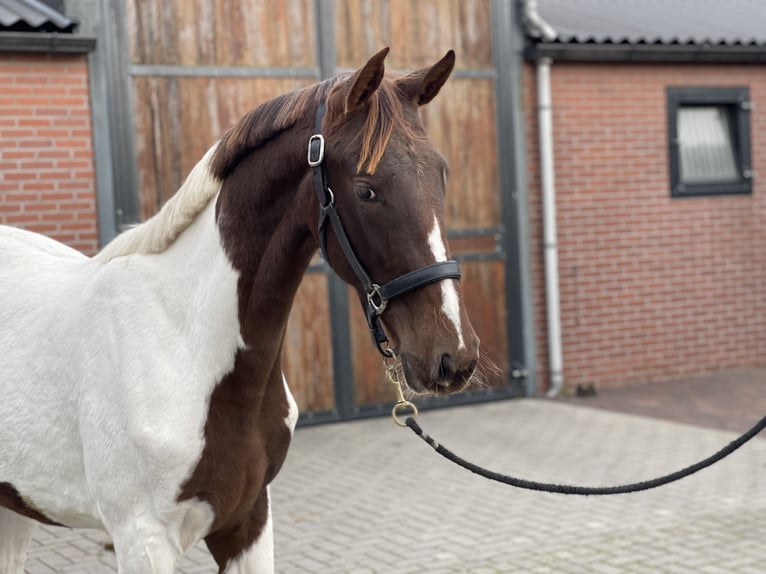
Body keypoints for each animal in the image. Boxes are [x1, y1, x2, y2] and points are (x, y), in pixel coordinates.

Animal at [0, 49, 480, 574]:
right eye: (366, 189)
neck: (183, 343)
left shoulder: (249, 520)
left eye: (441, 174)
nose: (453, 356)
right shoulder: (140, 537)